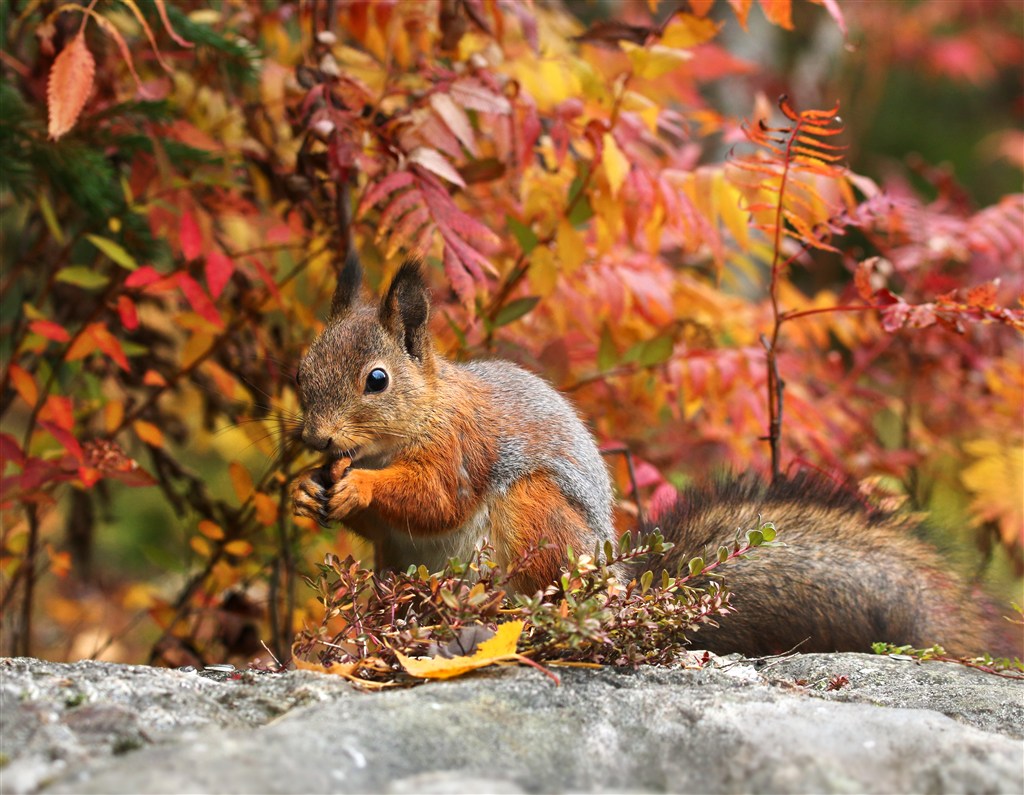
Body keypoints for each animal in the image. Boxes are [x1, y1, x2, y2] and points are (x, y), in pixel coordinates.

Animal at [292, 255, 1019, 659]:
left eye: (377, 380)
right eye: (300, 370)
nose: (315, 438)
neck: (422, 413)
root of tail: (614, 588)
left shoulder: (463, 445)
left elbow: (436, 497)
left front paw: (357, 487)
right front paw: (309, 492)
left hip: (535, 513)